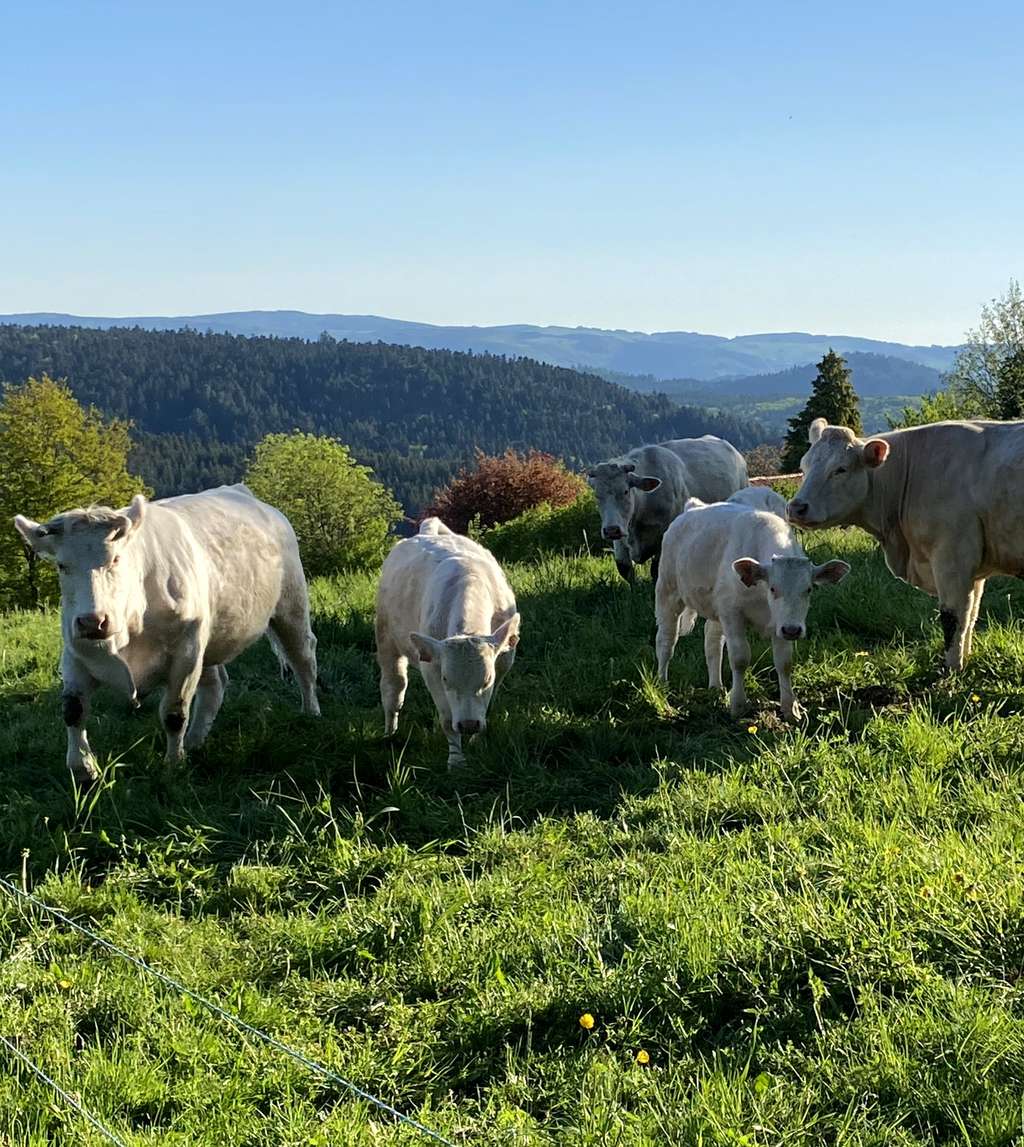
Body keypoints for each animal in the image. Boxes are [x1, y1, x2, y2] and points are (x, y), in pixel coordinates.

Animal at [13, 484, 318, 789]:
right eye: (62, 566)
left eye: (116, 558)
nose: (93, 621)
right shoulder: (75, 654)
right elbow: (73, 710)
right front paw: (83, 770)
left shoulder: (185, 654)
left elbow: (174, 713)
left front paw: (173, 766)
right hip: (208, 636)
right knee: (215, 684)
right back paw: (194, 742)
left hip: (290, 607)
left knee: (303, 659)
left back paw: (311, 713)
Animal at [376, 520, 518, 770]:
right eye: (445, 679)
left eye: (487, 679)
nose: (469, 725)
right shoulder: (432, 667)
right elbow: (448, 719)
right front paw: (456, 761)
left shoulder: (503, 663)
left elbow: (487, 703)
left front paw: (477, 743)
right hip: (385, 636)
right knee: (393, 687)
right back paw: (390, 733)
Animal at [587, 435, 747, 587]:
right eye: (596, 495)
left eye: (625, 491)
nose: (611, 530)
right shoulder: (621, 535)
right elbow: (624, 568)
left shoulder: (663, 535)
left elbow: (656, 570)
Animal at [655, 500, 848, 715]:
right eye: (773, 588)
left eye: (809, 589)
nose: (793, 630)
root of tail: (693, 506)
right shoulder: (732, 614)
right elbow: (740, 658)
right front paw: (738, 704)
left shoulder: (779, 623)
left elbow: (784, 662)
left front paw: (790, 708)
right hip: (668, 592)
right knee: (666, 640)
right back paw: (662, 684)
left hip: (717, 608)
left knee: (712, 640)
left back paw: (716, 686)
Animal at [788, 419, 1024, 669]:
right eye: (804, 467)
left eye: (840, 469)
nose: (796, 507)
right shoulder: (974, 569)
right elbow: (971, 616)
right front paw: (965, 659)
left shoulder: (952, 557)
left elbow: (953, 617)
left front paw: (952, 668)